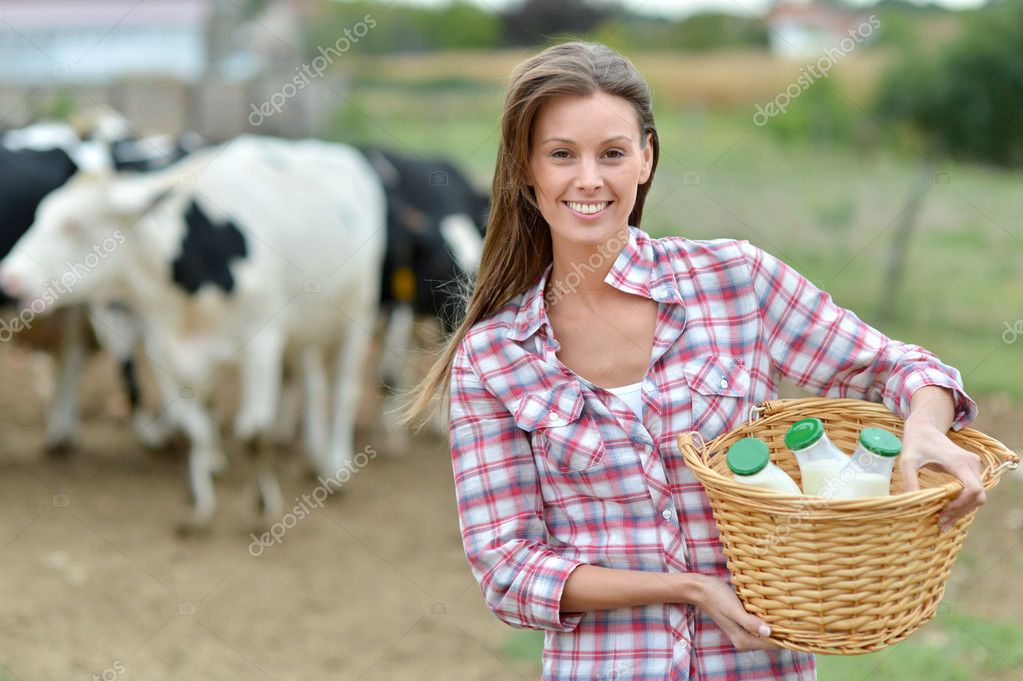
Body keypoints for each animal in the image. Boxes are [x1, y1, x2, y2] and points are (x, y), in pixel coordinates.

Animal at [0, 137, 386, 531]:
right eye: (38, 215)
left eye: (74, 225)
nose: (8, 276)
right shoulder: (164, 349)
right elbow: (193, 429)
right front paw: (200, 504)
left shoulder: (262, 342)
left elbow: (253, 432)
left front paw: (263, 504)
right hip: (304, 330)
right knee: (311, 385)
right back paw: (313, 454)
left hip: (357, 314)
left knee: (343, 389)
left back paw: (335, 467)